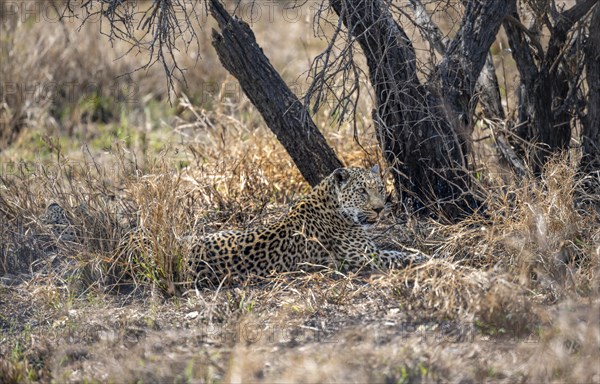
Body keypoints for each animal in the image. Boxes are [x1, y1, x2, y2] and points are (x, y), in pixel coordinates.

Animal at [190, 166, 420, 288]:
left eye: (380, 188)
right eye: (362, 191)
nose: (380, 209)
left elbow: (395, 250)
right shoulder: (364, 257)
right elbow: (399, 256)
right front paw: (422, 258)